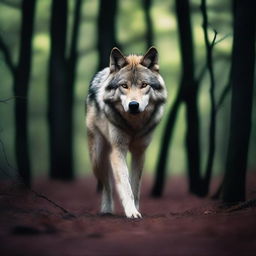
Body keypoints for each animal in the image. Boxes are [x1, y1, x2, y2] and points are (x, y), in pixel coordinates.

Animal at [86, 46, 166, 218]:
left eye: (144, 85)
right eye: (124, 86)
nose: (133, 105)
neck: (133, 125)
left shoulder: (139, 152)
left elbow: (135, 186)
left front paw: (135, 208)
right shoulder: (118, 150)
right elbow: (125, 184)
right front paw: (131, 212)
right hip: (97, 157)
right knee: (106, 184)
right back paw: (107, 209)